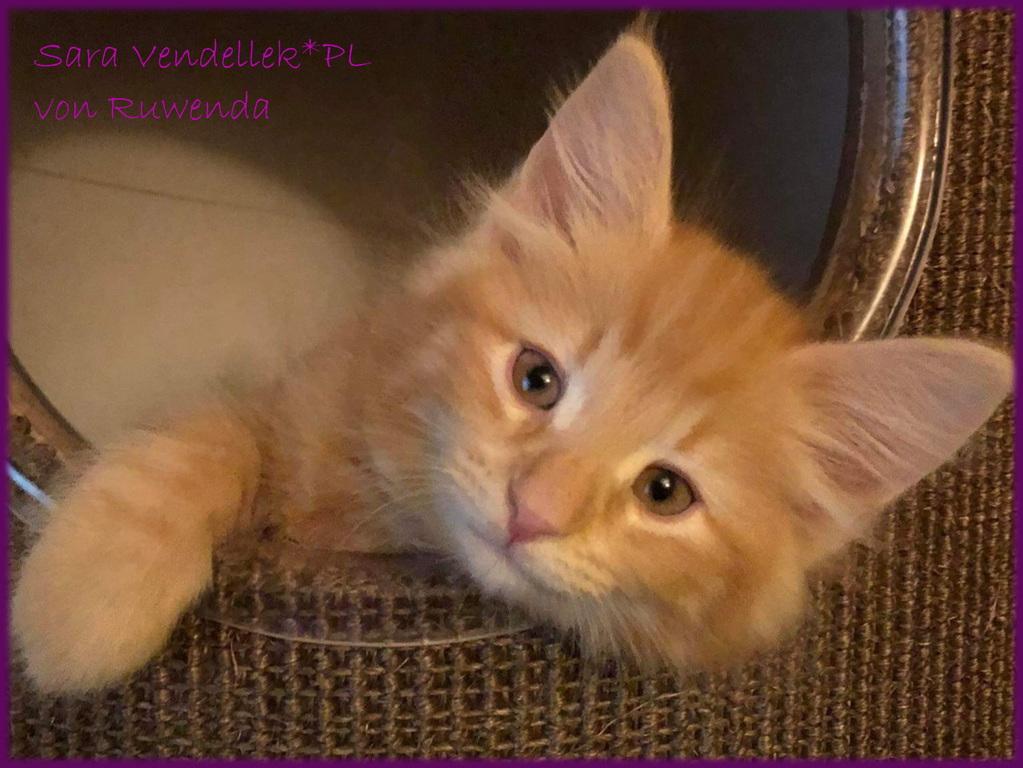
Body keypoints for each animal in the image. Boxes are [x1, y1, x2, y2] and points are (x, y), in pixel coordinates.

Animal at [11, 26, 1013, 695]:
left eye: (665, 492)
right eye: (537, 379)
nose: (531, 512)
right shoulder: (287, 401)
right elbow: (200, 446)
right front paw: (86, 602)